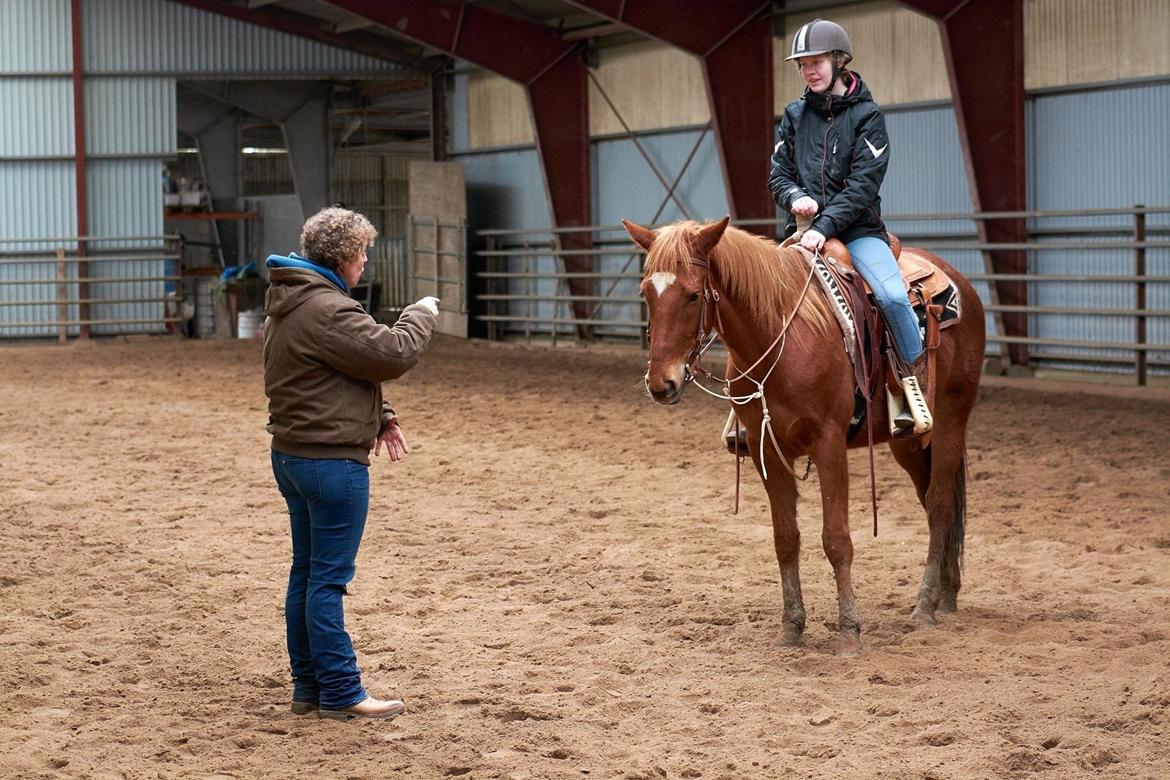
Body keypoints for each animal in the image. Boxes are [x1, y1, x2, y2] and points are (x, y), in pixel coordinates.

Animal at [627, 216, 982, 650]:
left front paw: (849, 630)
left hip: (950, 419)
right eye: (646, 292)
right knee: (932, 501)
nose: (662, 384)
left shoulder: (829, 444)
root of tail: (959, 283)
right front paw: (791, 626)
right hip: (911, 444)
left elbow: (836, 539)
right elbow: (785, 538)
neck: (782, 336)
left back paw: (926, 605)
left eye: (694, 295)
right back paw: (947, 593)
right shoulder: (764, 447)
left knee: (940, 504)